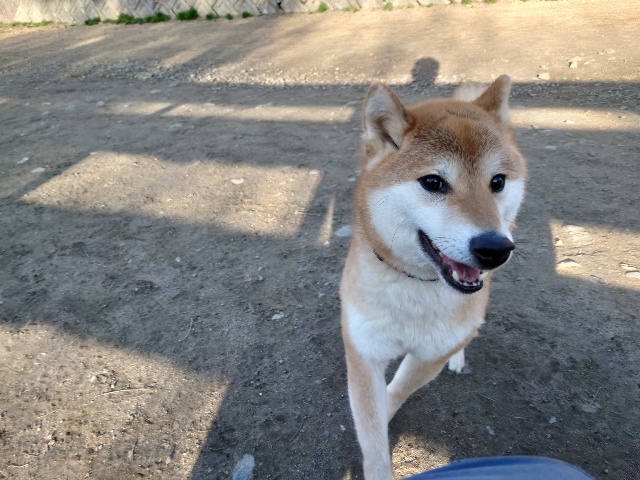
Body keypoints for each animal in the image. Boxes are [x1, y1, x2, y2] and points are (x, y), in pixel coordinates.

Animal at [340, 75, 527, 479]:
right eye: (432, 182)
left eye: (497, 181)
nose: (495, 248)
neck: (416, 286)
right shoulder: (363, 349)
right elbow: (372, 431)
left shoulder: (431, 353)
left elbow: (397, 390)